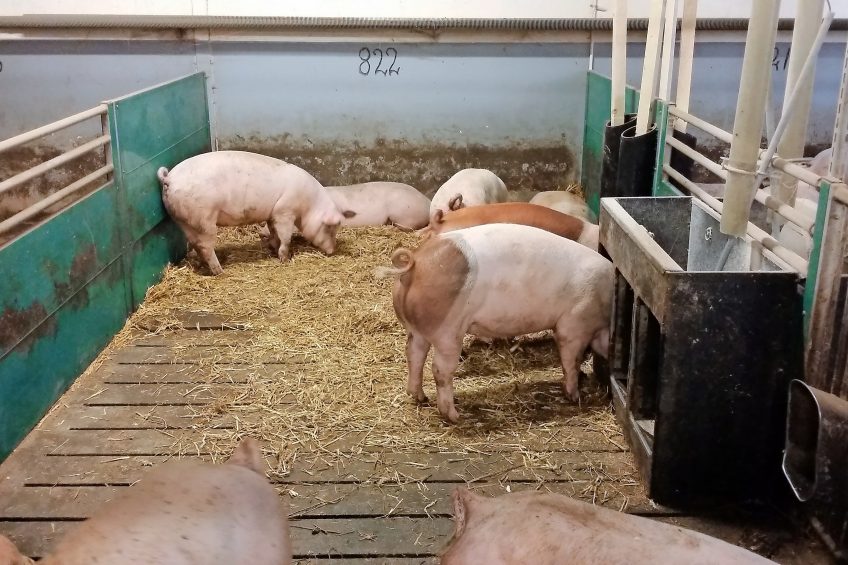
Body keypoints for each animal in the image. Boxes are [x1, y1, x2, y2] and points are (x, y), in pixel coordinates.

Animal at [157, 149, 342, 274]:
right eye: (330, 228)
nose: (333, 251)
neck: (309, 205)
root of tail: (168, 178)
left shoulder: (272, 215)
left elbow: (274, 233)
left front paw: (273, 249)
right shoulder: (285, 212)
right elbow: (285, 237)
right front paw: (285, 259)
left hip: (184, 221)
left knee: (195, 244)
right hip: (202, 219)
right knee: (205, 246)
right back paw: (220, 271)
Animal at [376, 223, 608, 420]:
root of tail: (414, 266)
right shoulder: (575, 323)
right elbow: (571, 360)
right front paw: (575, 397)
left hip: (417, 329)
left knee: (414, 354)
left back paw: (420, 398)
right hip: (448, 331)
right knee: (440, 369)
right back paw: (454, 416)